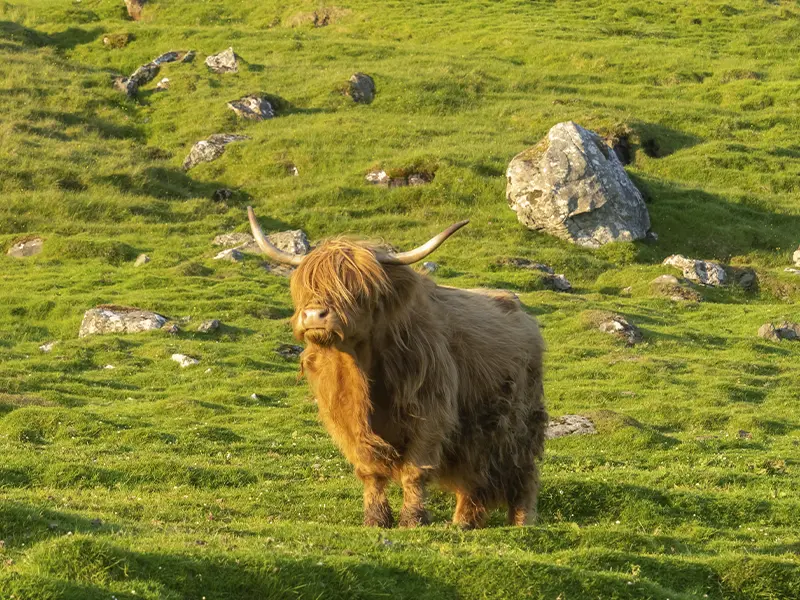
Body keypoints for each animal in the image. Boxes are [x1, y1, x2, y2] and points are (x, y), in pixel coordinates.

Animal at [250, 207, 548, 528]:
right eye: (308, 286)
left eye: (357, 290)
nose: (314, 315)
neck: (362, 371)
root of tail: (521, 312)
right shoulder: (346, 419)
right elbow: (370, 472)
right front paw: (375, 518)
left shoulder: (430, 413)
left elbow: (415, 470)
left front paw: (412, 519)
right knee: (473, 478)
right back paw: (463, 523)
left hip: (520, 423)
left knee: (523, 472)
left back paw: (521, 521)